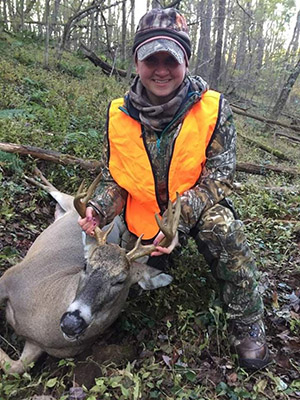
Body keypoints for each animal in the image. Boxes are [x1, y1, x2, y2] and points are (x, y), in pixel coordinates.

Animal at [0, 170, 180, 376]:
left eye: (120, 281)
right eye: (86, 265)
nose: (71, 323)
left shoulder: (36, 345)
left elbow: (14, 367)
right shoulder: (12, 276)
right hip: (73, 204)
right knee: (57, 192)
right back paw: (33, 174)